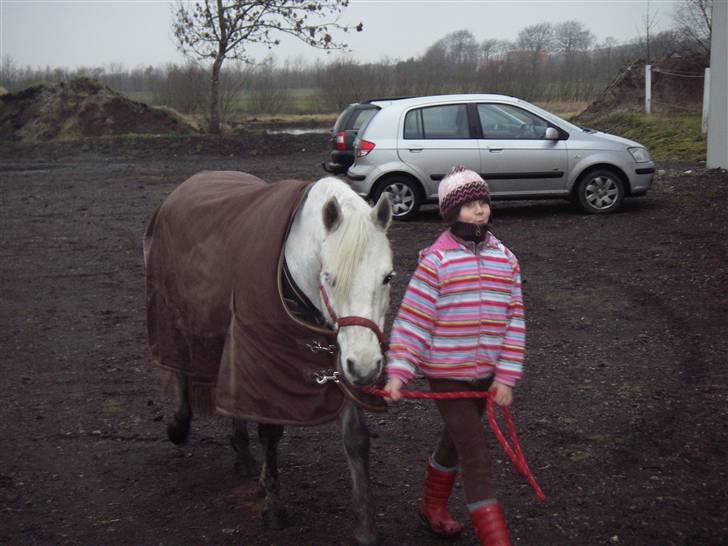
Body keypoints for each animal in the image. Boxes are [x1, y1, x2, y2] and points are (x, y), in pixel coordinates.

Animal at [146, 173, 396, 544]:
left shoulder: (340, 355)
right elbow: (270, 430)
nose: (365, 366)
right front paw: (273, 506)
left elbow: (356, 439)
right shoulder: (268, 356)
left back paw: (242, 452)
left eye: (387, 277)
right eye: (329, 277)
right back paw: (179, 426)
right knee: (180, 370)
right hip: (178, 320)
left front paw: (365, 525)